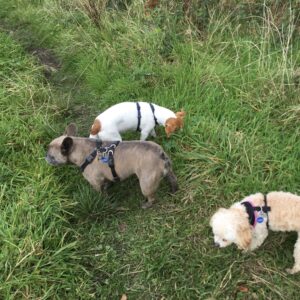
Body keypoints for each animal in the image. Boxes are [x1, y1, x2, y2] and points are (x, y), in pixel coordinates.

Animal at [44, 123, 178, 207]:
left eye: (51, 156)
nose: (45, 157)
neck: (79, 148)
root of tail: (160, 154)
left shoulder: (95, 182)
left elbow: (100, 192)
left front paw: (102, 199)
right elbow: (107, 182)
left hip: (146, 183)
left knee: (152, 197)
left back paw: (147, 204)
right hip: (168, 171)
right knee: (173, 179)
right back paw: (174, 190)